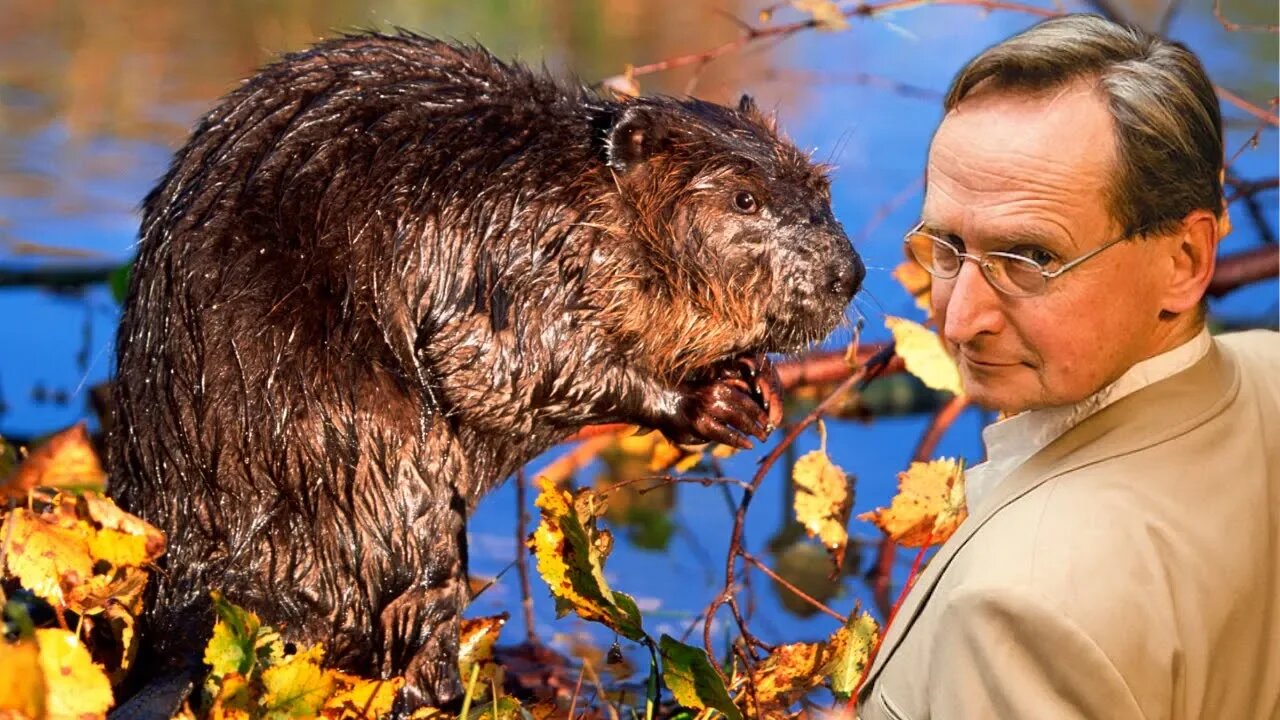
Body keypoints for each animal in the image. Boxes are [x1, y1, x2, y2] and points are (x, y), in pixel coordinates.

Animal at [110, 32, 865, 712]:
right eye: (744, 200)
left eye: (819, 187)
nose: (847, 276)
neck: (579, 193)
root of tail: (191, 601)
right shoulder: (520, 259)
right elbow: (494, 367)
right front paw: (710, 403)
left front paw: (760, 382)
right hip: (374, 470)